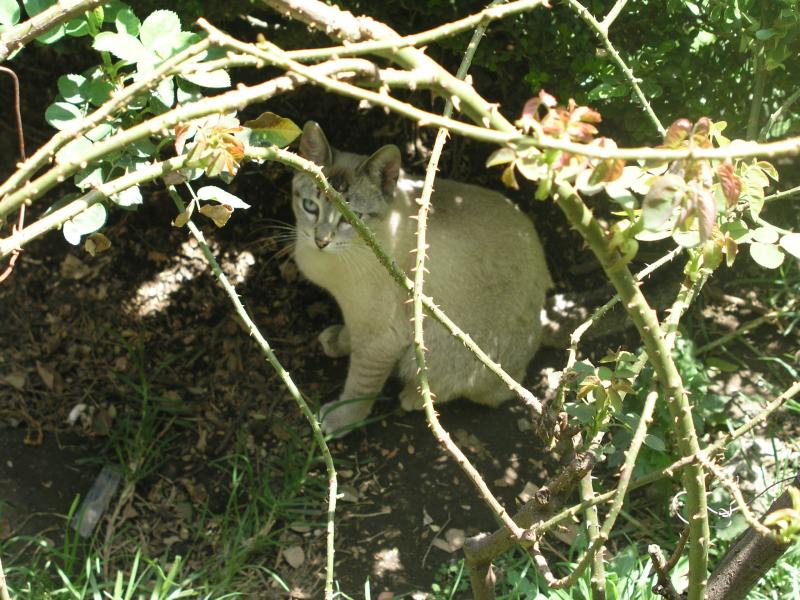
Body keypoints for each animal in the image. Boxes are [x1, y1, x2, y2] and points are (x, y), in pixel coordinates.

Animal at [292, 121, 552, 437]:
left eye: (350, 218)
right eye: (310, 207)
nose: (321, 241)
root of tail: (541, 324)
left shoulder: (383, 337)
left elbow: (361, 385)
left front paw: (340, 420)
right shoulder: (360, 318)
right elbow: (353, 338)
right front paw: (339, 341)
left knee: (492, 391)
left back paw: (414, 396)